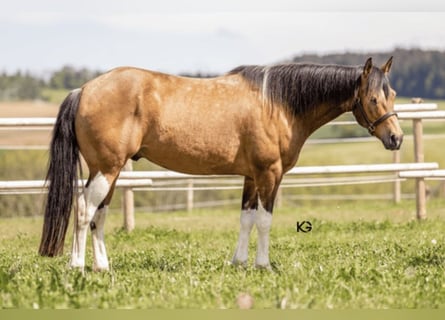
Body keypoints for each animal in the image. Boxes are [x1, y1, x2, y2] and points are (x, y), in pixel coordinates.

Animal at [39, 57, 402, 270]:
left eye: (394, 94)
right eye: (373, 99)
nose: (396, 138)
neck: (278, 104)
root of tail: (84, 90)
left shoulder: (251, 177)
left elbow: (246, 219)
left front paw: (238, 263)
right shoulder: (269, 174)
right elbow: (264, 221)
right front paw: (263, 265)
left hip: (109, 172)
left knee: (99, 214)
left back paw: (102, 267)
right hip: (106, 169)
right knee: (84, 209)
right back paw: (77, 266)